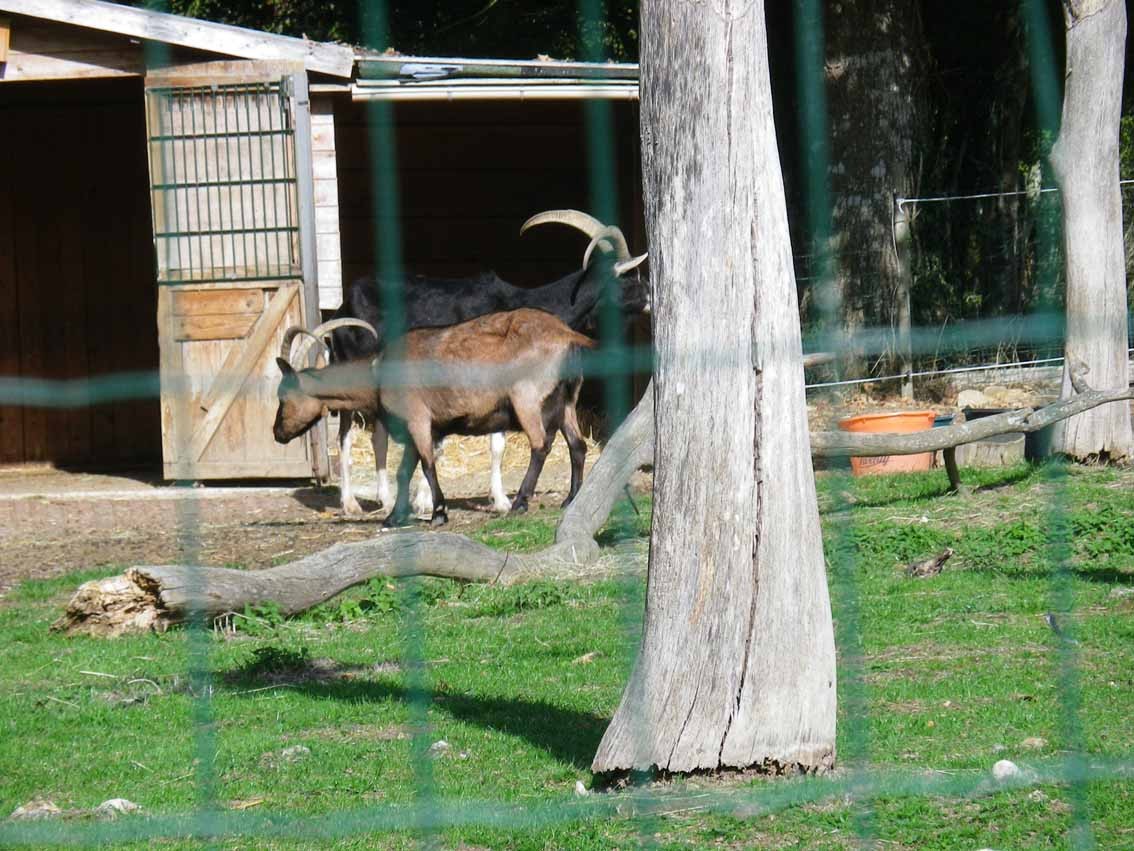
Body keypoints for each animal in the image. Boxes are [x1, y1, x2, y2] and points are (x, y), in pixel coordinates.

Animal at [273, 310, 594, 531]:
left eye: (283, 396)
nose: (277, 433)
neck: (379, 373)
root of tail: (566, 334)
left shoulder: (418, 421)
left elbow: (427, 465)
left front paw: (438, 513)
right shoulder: (417, 429)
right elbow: (404, 471)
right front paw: (394, 516)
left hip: (526, 398)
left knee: (540, 445)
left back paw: (519, 503)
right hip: (567, 401)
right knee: (577, 445)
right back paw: (570, 499)